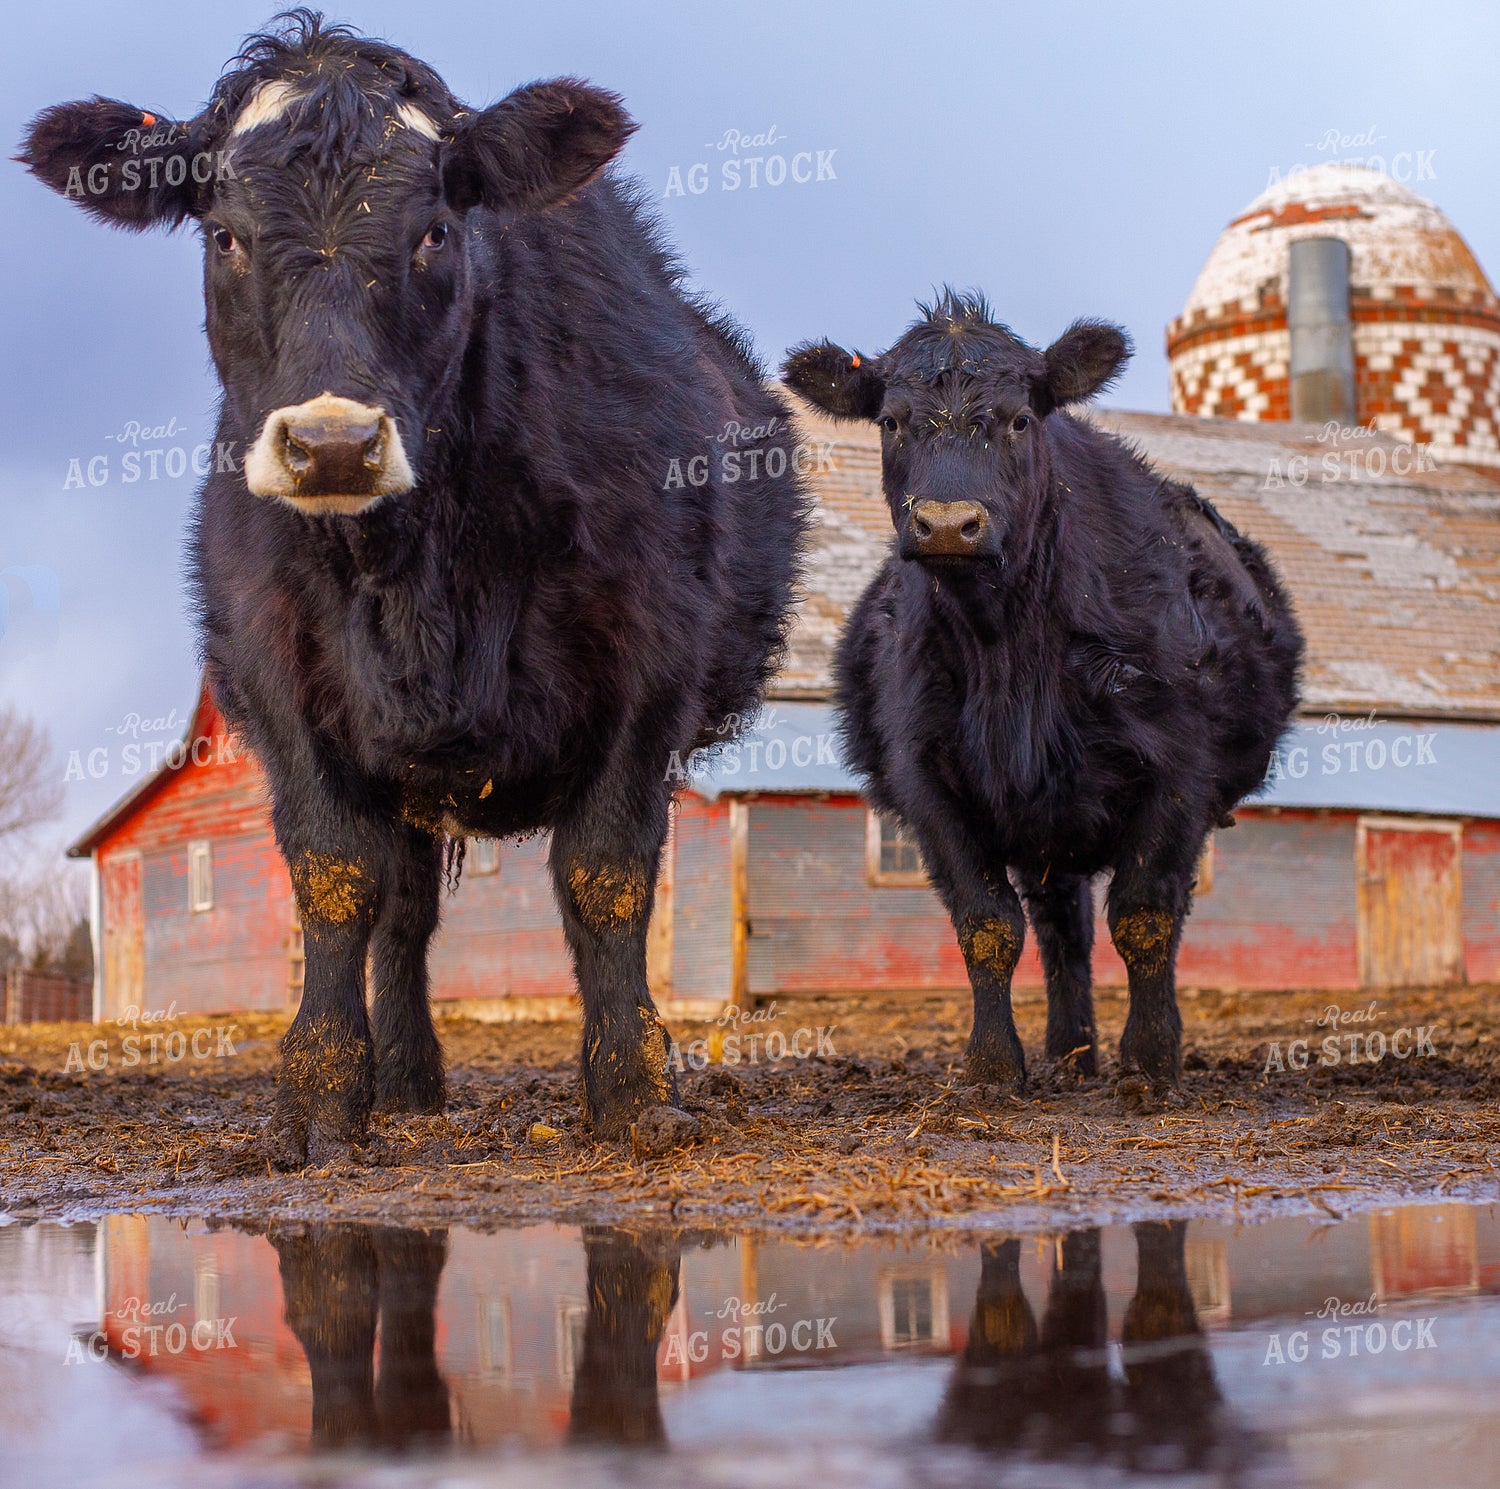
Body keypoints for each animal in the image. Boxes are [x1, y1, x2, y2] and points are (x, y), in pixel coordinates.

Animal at [22, 11, 808, 1163]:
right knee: (399, 910)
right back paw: (402, 1084)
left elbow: (606, 875)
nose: (332, 445)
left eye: (437, 229)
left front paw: (631, 1088)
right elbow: (335, 880)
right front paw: (318, 1100)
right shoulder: (277, 671)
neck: (415, 579)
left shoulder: (650, 661)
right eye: (224, 236)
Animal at [784, 292, 1301, 1104]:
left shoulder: (1178, 775)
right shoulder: (929, 784)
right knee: (1063, 933)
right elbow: (987, 925)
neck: (1006, 647)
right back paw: (1069, 1054)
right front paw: (995, 1066)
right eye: (891, 421)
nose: (948, 524)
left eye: (1020, 418)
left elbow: (1146, 918)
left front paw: (1150, 1063)